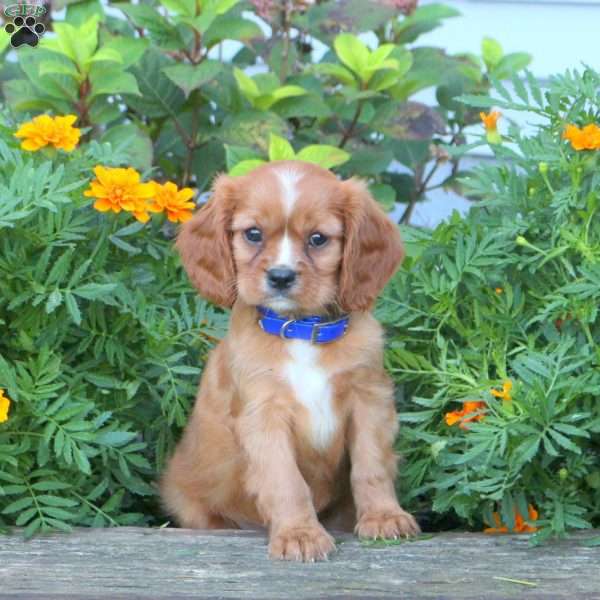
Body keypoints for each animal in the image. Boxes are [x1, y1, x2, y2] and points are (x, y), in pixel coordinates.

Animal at [162, 161, 420, 564]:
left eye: (318, 239)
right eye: (253, 234)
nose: (280, 277)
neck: (300, 330)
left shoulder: (369, 399)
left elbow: (371, 463)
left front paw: (383, 516)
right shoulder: (262, 415)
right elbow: (286, 480)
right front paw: (300, 534)